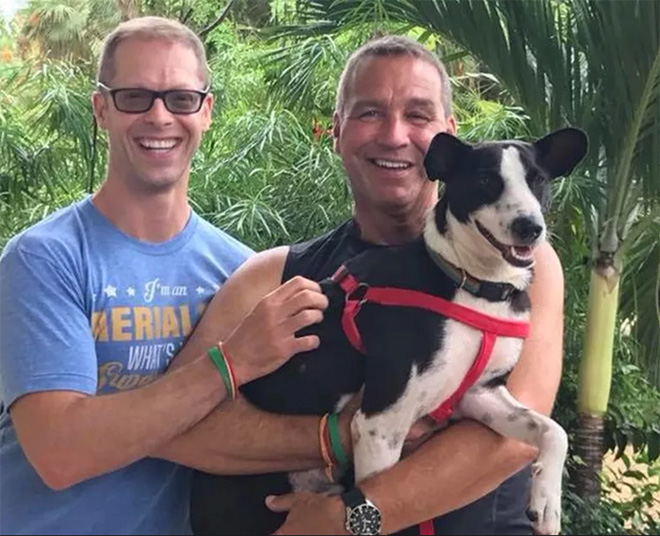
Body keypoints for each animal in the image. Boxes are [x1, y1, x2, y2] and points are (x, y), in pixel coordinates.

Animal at [191, 127, 588, 532]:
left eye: (537, 180)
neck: (473, 284)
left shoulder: (480, 394)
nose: (530, 227)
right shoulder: (382, 422)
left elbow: (553, 431)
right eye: (485, 180)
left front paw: (547, 502)